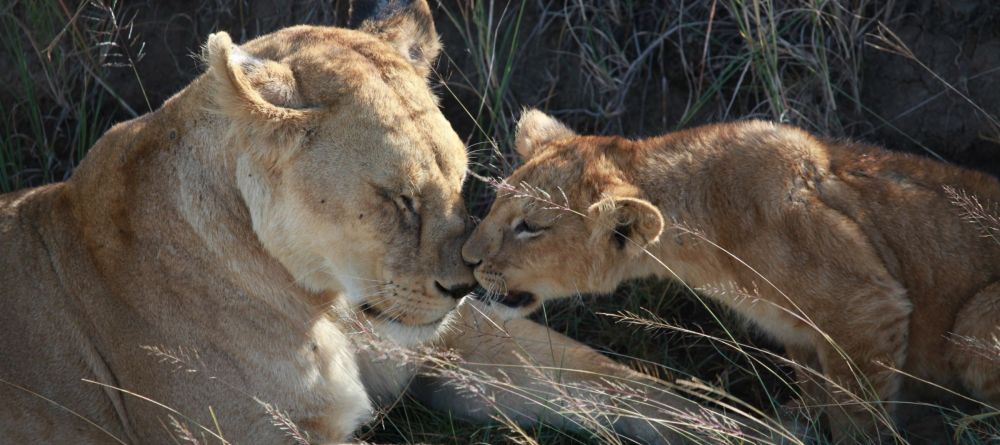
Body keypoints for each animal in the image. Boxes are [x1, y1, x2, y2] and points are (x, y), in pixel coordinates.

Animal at [0, 3, 737, 444]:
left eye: (460, 180)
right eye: (399, 198)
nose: (463, 288)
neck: (325, 307)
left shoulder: (452, 345)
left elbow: (629, 389)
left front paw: (747, 421)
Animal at [462, 109, 1000, 442]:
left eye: (530, 226)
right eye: (497, 203)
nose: (466, 258)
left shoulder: (866, 306)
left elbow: (858, 416)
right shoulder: (804, 335)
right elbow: (819, 395)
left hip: (975, 321)